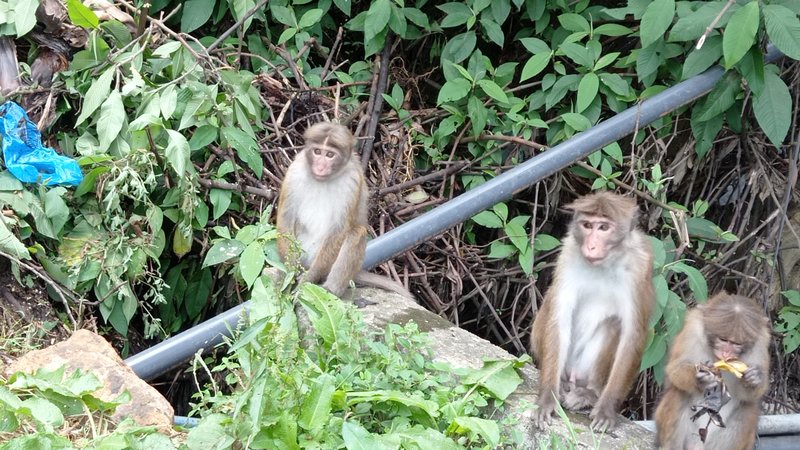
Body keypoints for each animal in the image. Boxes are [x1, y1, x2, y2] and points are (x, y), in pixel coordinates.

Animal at [276, 121, 412, 300]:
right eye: (317, 151)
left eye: (329, 155)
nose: (320, 166)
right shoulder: (294, 172)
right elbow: (286, 218)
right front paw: (290, 273)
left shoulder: (352, 181)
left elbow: (340, 229)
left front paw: (307, 279)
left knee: (356, 232)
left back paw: (330, 289)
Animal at [528, 192, 652, 430]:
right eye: (587, 225)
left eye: (603, 227)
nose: (591, 246)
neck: (604, 264)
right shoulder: (567, 254)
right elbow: (559, 319)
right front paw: (548, 397)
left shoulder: (640, 266)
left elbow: (633, 334)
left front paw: (606, 409)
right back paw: (562, 386)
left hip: (583, 370)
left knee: (614, 323)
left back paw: (589, 394)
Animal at [656, 292, 768, 450]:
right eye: (723, 339)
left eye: (736, 343)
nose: (726, 353)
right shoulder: (692, 329)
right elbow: (675, 369)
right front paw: (700, 380)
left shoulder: (761, 342)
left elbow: (748, 395)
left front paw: (754, 378)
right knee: (679, 394)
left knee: (748, 409)